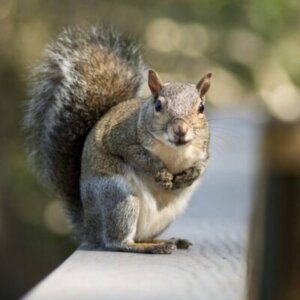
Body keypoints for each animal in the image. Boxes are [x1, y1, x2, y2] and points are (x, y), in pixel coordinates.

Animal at [24, 26, 211, 255]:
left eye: (201, 107)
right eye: (158, 105)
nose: (180, 130)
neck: (174, 150)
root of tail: (90, 227)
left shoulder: (203, 150)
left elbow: (202, 165)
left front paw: (190, 176)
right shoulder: (121, 138)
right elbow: (138, 156)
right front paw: (160, 173)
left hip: (166, 214)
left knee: (141, 236)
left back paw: (169, 241)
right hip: (119, 198)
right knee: (118, 242)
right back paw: (151, 247)